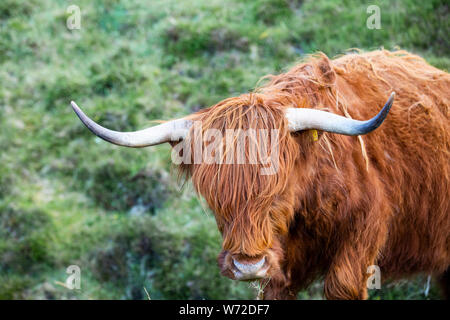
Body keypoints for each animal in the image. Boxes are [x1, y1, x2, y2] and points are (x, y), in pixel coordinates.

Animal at [71, 48, 450, 298]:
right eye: (214, 200)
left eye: (277, 191)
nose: (247, 266)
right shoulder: (280, 269)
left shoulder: (361, 239)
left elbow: (341, 287)